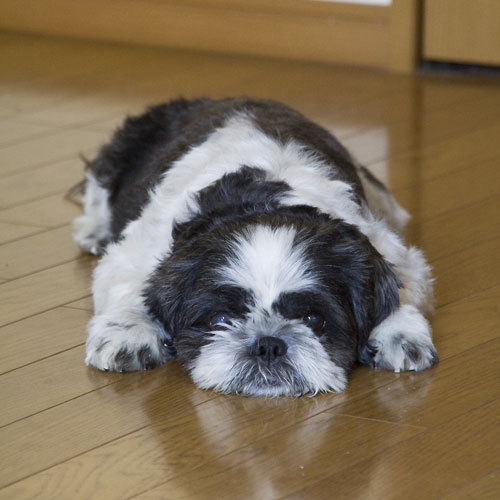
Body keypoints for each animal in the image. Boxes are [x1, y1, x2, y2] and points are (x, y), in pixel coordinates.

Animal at [74, 96, 438, 394]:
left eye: (312, 320)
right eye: (221, 320)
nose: (268, 343)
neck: (262, 200)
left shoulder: (388, 250)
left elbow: (402, 291)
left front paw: (399, 331)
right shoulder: (138, 252)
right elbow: (131, 287)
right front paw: (128, 331)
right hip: (121, 153)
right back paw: (93, 230)